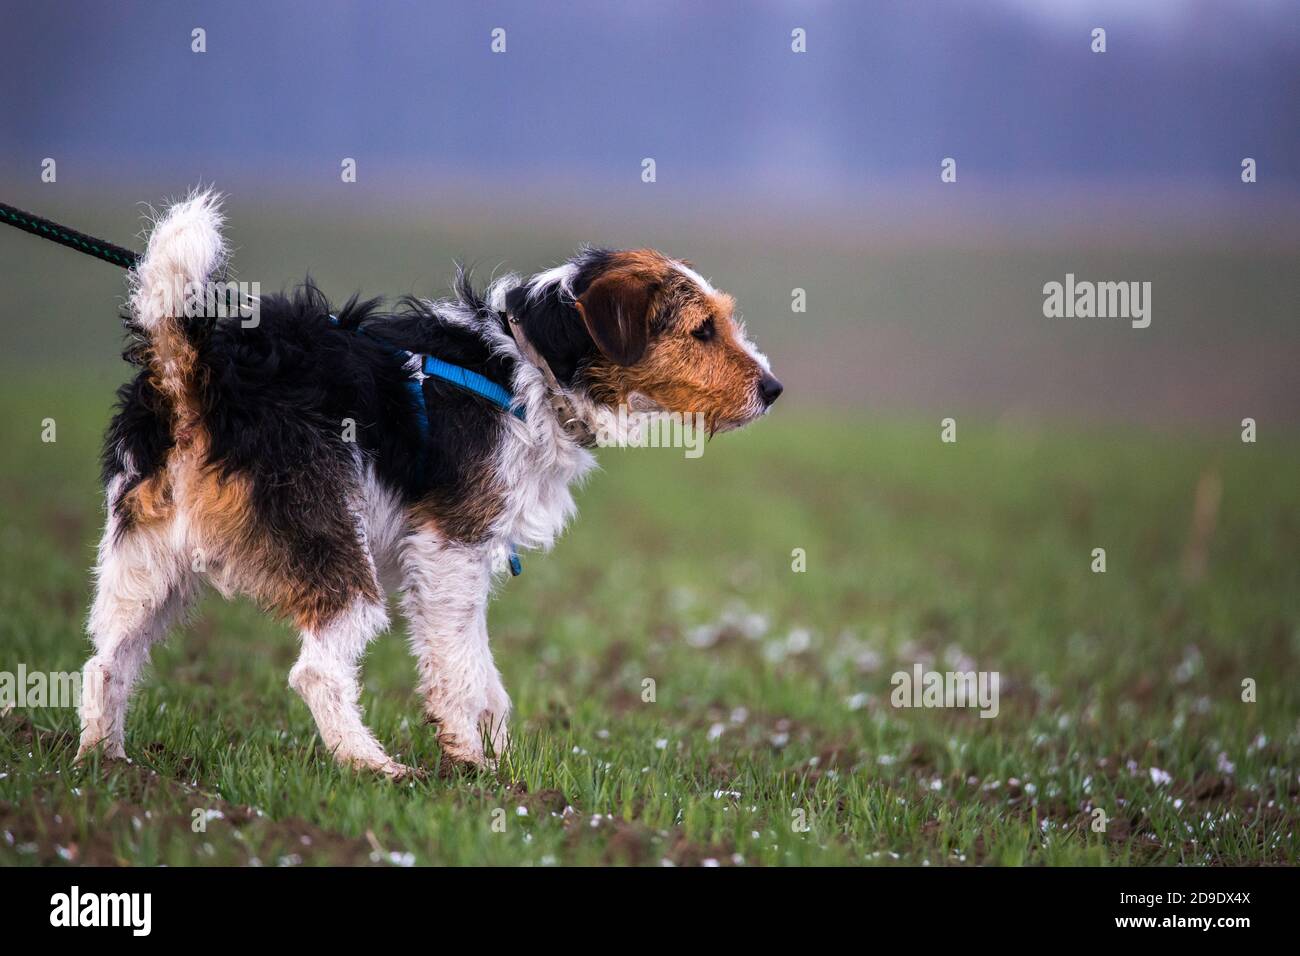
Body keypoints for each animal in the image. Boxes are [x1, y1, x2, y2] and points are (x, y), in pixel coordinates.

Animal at [78, 192, 780, 780]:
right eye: (701, 329)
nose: (773, 390)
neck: (532, 366)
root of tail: (190, 372)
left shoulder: (463, 560)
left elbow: (486, 676)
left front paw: (501, 764)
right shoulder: (450, 549)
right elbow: (461, 672)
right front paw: (472, 767)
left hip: (144, 563)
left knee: (105, 663)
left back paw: (106, 766)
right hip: (335, 554)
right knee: (317, 672)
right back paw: (374, 767)